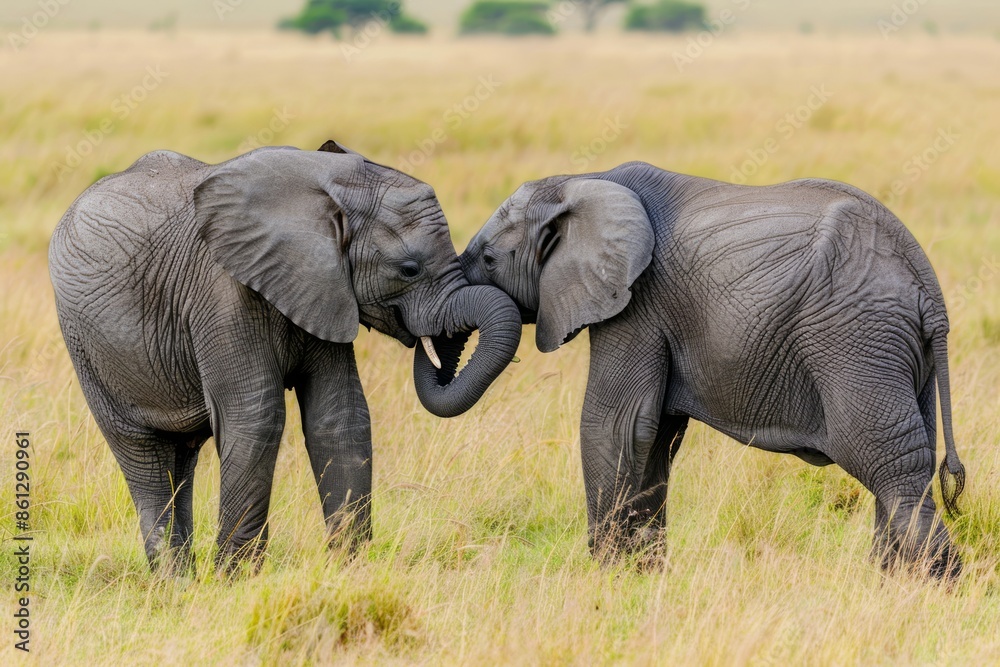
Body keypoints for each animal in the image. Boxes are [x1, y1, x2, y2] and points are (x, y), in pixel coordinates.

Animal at [49, 141, 521, 571]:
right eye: (409, 269)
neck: (324, 186)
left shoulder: (324, 288)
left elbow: (340, 415)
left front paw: (348, 570)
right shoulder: (223, 293)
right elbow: (256, 417)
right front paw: (235, 580)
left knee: (179, 458)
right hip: (87, 348)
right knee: (143, 453)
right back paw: (173, 583)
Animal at [460, 161, 967, 577]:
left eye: (489, 259)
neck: (581, 180)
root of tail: (926, 285)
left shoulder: (637, 302)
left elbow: (617, 423)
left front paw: (606, 574)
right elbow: (655, 433)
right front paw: (644, 574)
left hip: (853, 339)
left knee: (889, 462)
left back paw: (933, 586)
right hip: (896, 353)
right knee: (907, 454)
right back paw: (890, 584)